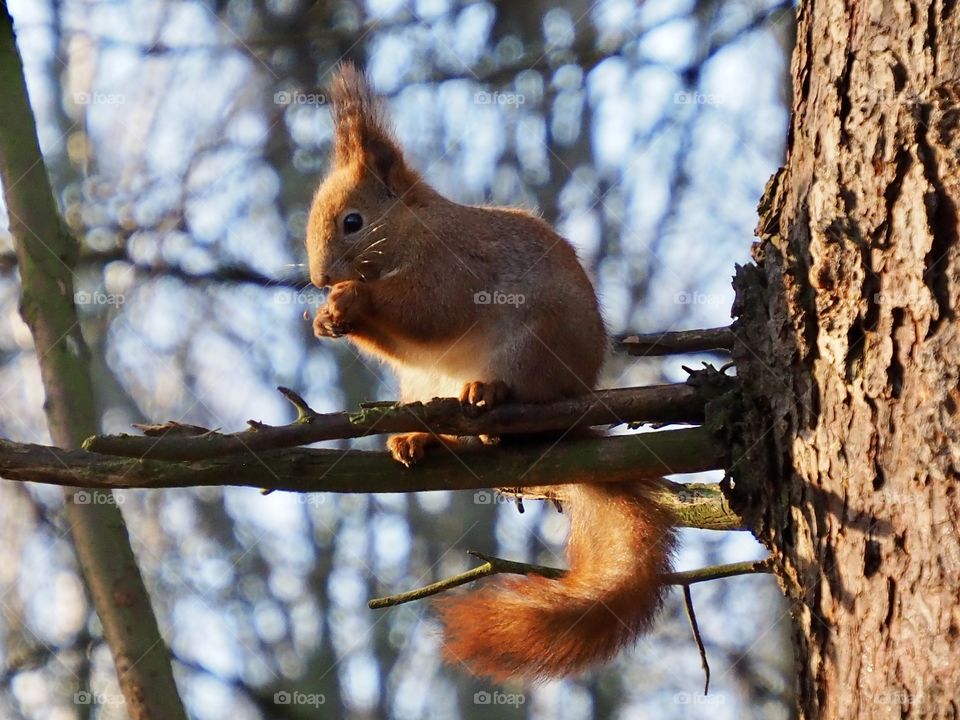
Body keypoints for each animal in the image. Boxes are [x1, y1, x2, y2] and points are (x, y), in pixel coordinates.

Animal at [305, 63, 676, 681]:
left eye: (353, 222)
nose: (317, 278)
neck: (414, 230)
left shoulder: (453, 268)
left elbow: (428, 310)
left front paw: (352, 300)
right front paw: (326, 318)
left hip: (533, 355)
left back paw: (491, 399)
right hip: (423, 386)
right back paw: (418, 439)